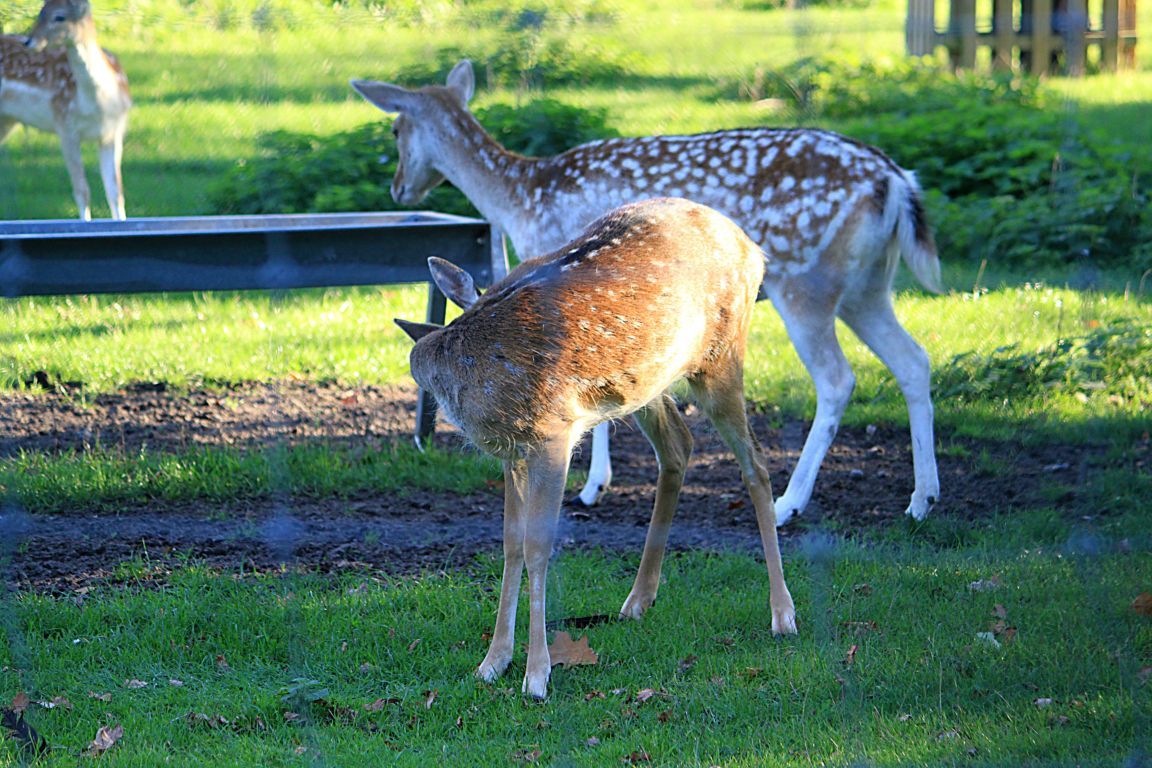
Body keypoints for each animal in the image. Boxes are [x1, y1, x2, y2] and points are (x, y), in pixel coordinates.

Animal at [0, 1, 130, 221]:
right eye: (41, 12)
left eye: (59, 17)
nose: (29, 41)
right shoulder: (65, 126)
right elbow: (82, 191)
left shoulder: (113, 132)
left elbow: (116, 192)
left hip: (7, 121)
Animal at [352, 60, 944, 525]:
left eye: (395, 130)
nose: (398, 188)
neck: (519, 199)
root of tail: (896, 181)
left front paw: (592, 486)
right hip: (869, 286)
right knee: (914, 359)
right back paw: (922, 499)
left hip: (808, 279)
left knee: (838, 378)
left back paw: (789, 502)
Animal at [396, 196, 792, 695]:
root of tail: (755, 251)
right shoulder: (512, 452)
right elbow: (509, 544)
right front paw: (492, 662)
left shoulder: (552, 431)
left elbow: (537, 547)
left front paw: (536, 675)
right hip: (646, 382)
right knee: (678, 445)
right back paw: (638, 600)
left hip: (721, 357)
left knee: (756, 463)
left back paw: (782, 614)